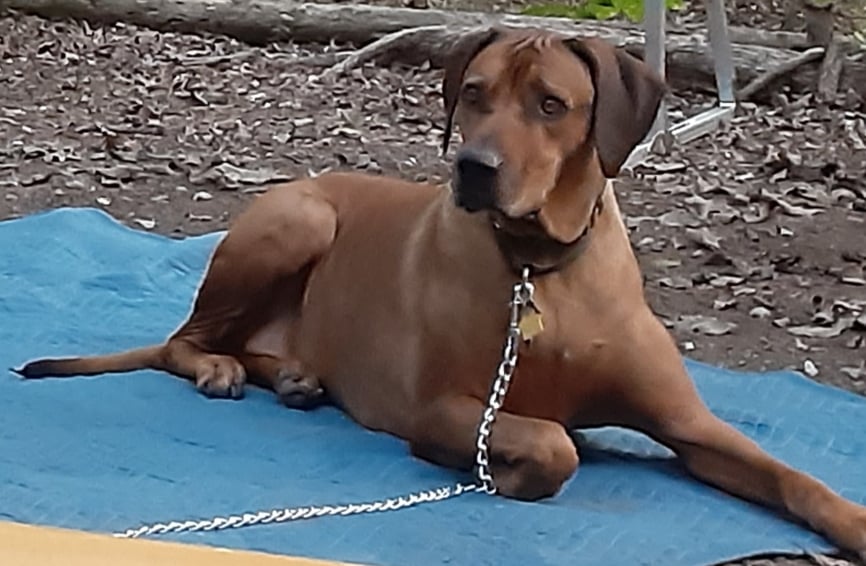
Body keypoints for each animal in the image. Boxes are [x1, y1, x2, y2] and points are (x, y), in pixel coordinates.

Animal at [18, 28, 864, 560]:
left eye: (551, 105)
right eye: (475, 94)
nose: (474, 168)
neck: (541, 268)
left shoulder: (690, 425)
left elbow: (794, 477)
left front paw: (851, 523)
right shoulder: (445, 407)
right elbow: (551, 443)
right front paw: (496, 469)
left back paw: (293, 377)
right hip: (295, 218)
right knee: (181, 341)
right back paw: (222, 368)